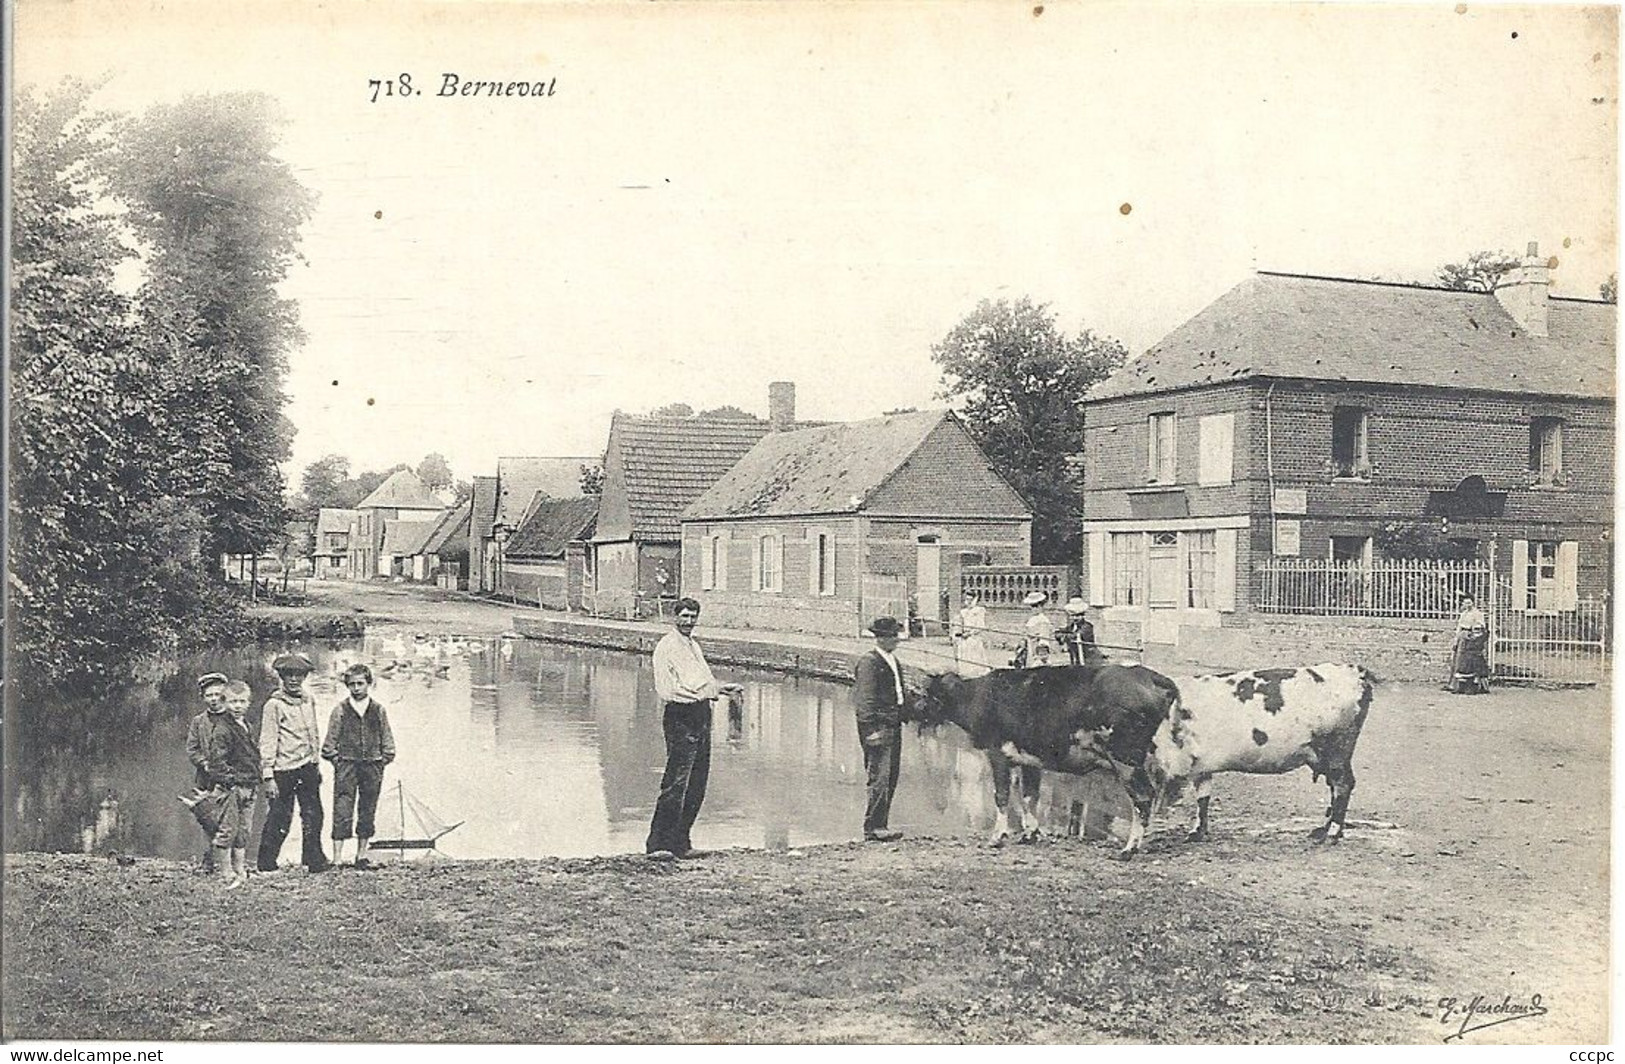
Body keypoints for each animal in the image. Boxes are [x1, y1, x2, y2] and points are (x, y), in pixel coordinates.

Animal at [903, 666, 1183, 857]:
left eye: (921, 694)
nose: (905, 712)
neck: (978, 697)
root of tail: (1146, 675)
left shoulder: (997, 754)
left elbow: (1002, 796)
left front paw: (997, 836)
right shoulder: (1029, 760)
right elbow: (1029, 796)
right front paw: (1031, 833)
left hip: (1125, 759)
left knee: (1143, 798)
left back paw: (1129, 849)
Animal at [1124, 666, 1378, 857]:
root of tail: (1354, 671)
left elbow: (1143, 806)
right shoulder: (1200, 764)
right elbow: (1203, 795)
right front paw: (1197, 832)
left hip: (1336, 752)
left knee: (1343, 785)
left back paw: (1331, 833)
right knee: (1335, 788)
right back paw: (1322, 830)